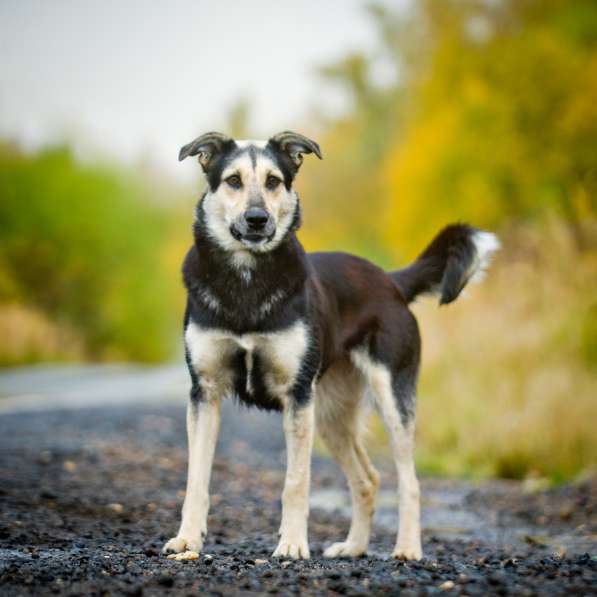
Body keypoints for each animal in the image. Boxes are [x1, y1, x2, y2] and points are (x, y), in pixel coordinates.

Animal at [162, 130, 498, 560]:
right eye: (233, 180)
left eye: (273, 181)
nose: (257, 219)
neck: (247, 281)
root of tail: (390, 281)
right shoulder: (204, 392)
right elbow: (196, 479)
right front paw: (187, 538)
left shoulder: (297, 397)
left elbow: (295, 482)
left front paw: (291, 544)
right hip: (330, 415)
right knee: (368, 478)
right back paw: (354, 546)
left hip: (389, 398)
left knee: (409, 481)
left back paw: (407, 548)